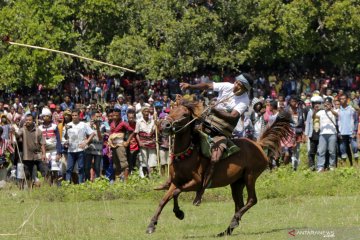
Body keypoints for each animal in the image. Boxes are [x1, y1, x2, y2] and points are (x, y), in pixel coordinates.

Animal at [145, 101, 292, 236]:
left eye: (185, 115)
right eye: (171, 111)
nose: (165, 125)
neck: (186, 154)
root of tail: (258, 144)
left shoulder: (196, 183)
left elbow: (176, 193)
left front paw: (179, 213)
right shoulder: (176, 182)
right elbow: (164, 200)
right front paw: (152, 225)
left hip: (250, 176)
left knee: (252, 200)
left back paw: (233, 221)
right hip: (237, 183)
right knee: (239, 204)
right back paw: (228, 229)